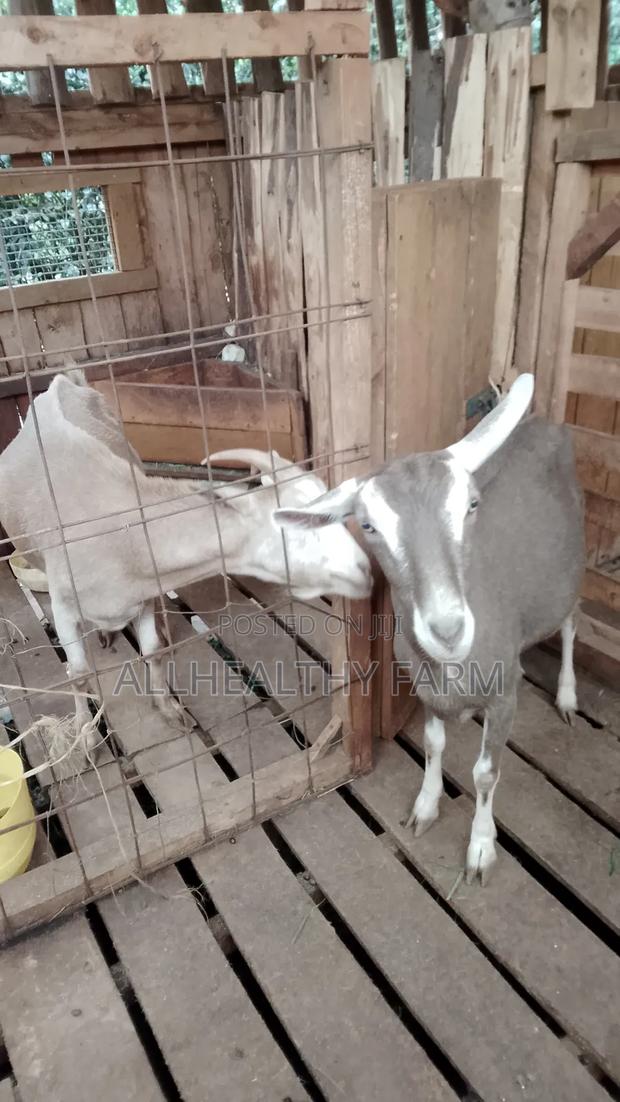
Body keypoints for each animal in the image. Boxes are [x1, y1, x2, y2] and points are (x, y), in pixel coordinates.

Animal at [0, 374, 371, 754]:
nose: (364, 569)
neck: (124, 534)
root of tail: (61, 381)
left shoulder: (143, 593)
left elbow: (152, 650)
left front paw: (169, 710)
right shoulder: (62, 607)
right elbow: (77, 673)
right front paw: (86, 737)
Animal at [275, 373, 585, 884]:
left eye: (472, 505)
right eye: (368, 526)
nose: (447, 629)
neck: (452, 668)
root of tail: (547, 423)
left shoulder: (506, 691)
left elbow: (486, 773)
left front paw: (480, 848)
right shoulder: (424, 687)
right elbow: (433, 742)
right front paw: (425, 806)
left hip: (571, 570)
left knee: (572, 624)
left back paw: (567, 696)